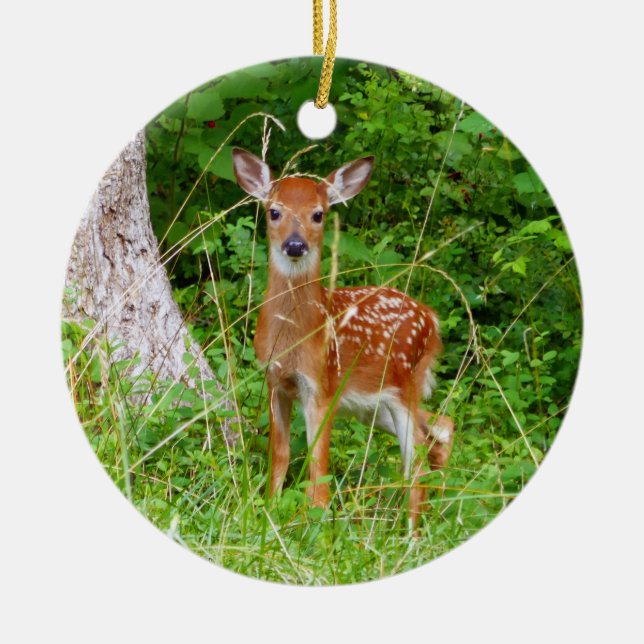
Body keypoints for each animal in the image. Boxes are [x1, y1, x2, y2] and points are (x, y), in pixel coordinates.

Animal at [232, 148, 455, 527]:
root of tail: (432, 318)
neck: (295, 338)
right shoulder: (276, 381)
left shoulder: (323, 385)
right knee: (439, 428)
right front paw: (269, 510)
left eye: (318, 214)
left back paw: (412, 532)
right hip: (372, 403)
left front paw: (317, 523)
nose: (295, 244)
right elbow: (280, 454)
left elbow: (317, 465)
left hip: (403, 385)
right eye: (274, 211)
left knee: (417, 463)